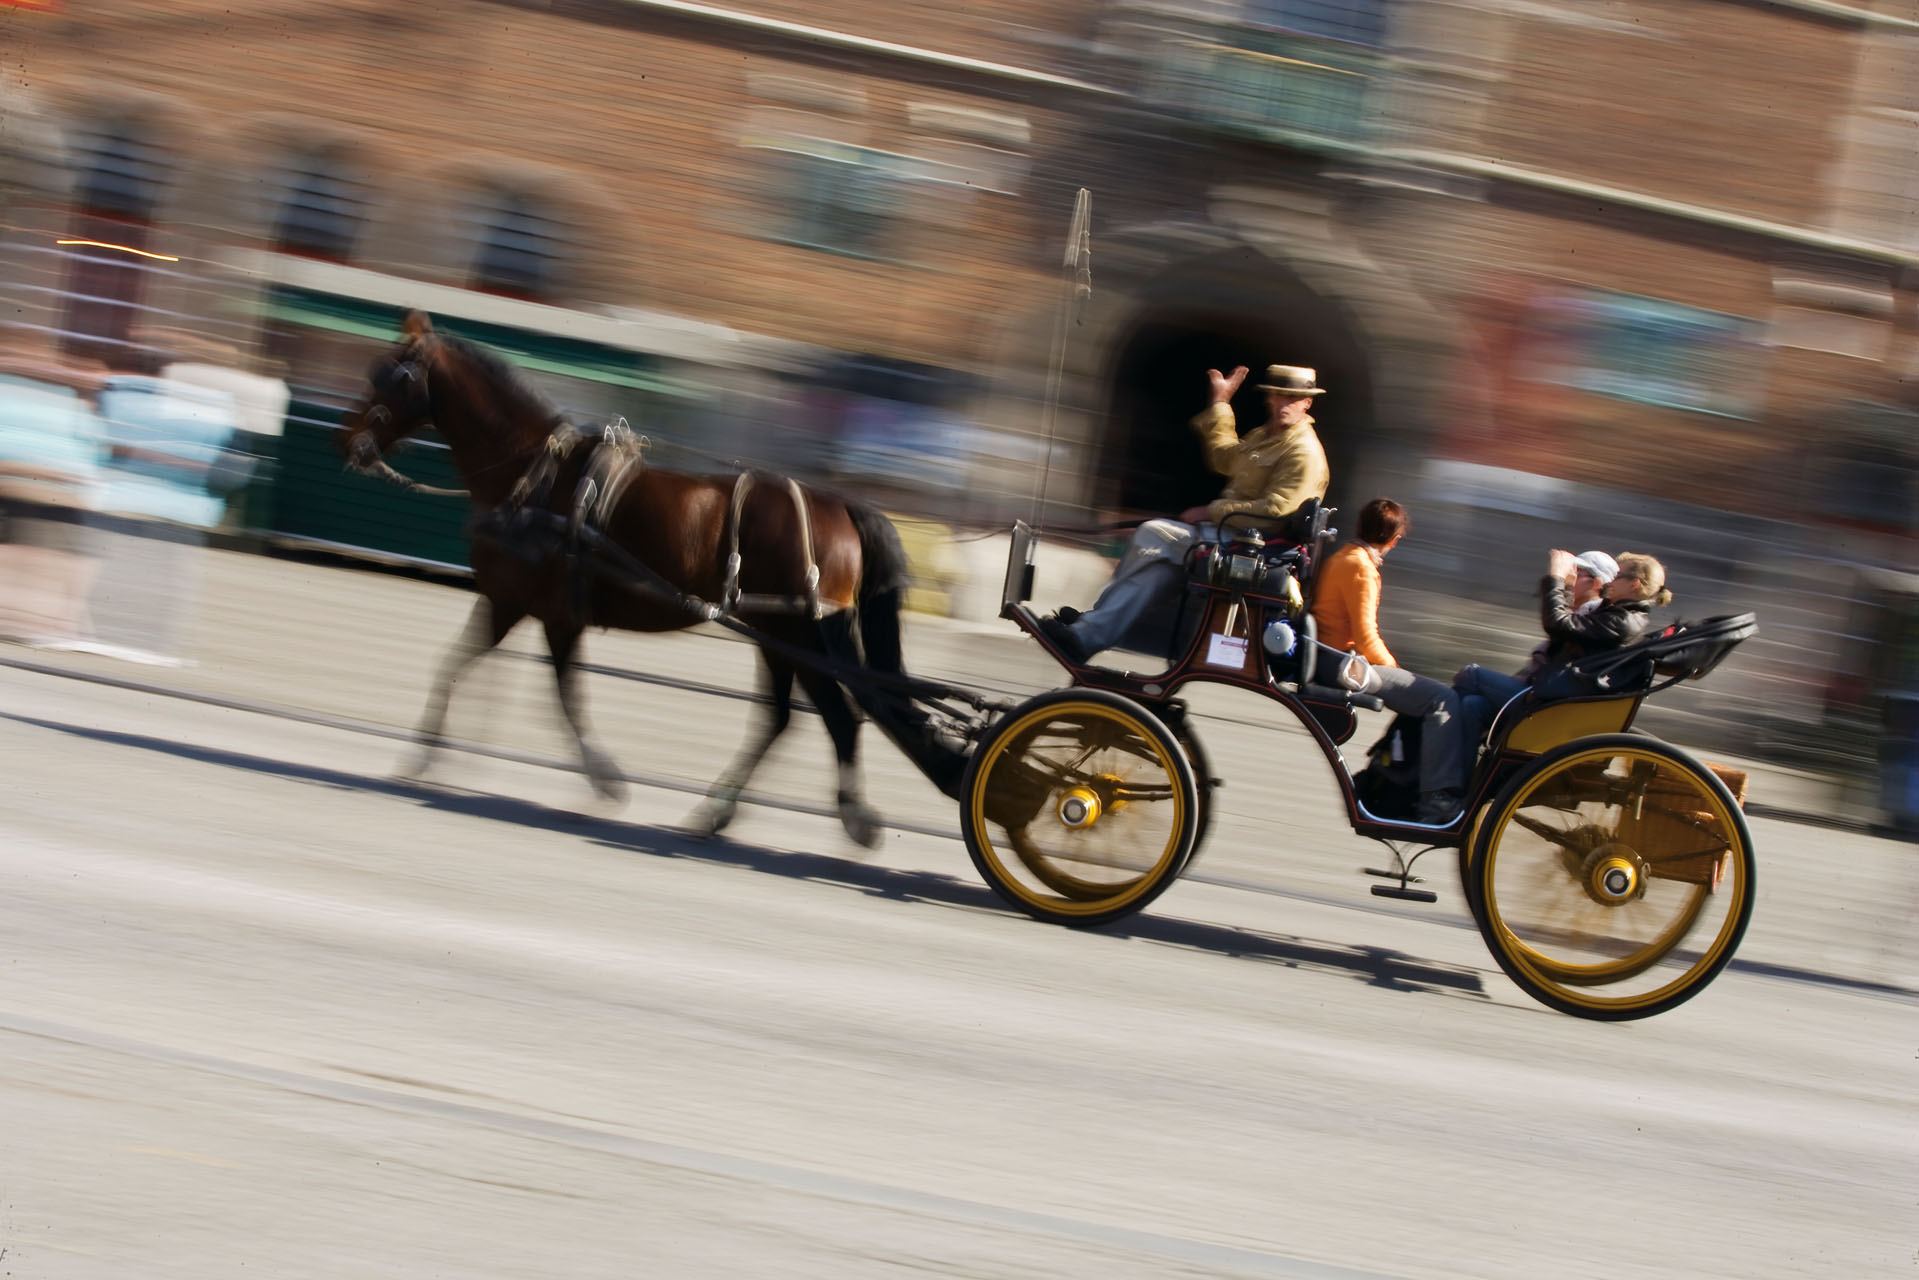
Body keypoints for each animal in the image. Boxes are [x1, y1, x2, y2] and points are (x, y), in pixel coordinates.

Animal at [343, 310, 944, 844]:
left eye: (387, 375)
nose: (347, 441)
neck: (534, 478)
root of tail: (837, 505)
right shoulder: (514, 604)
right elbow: (460, 666)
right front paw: (429, 754)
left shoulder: (546, 614)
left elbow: (561, 698)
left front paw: (604, 779)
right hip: (779, 636)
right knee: (784, 720)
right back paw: (719, 813)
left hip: (803, 636)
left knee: (838, 719)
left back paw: (851, 817)